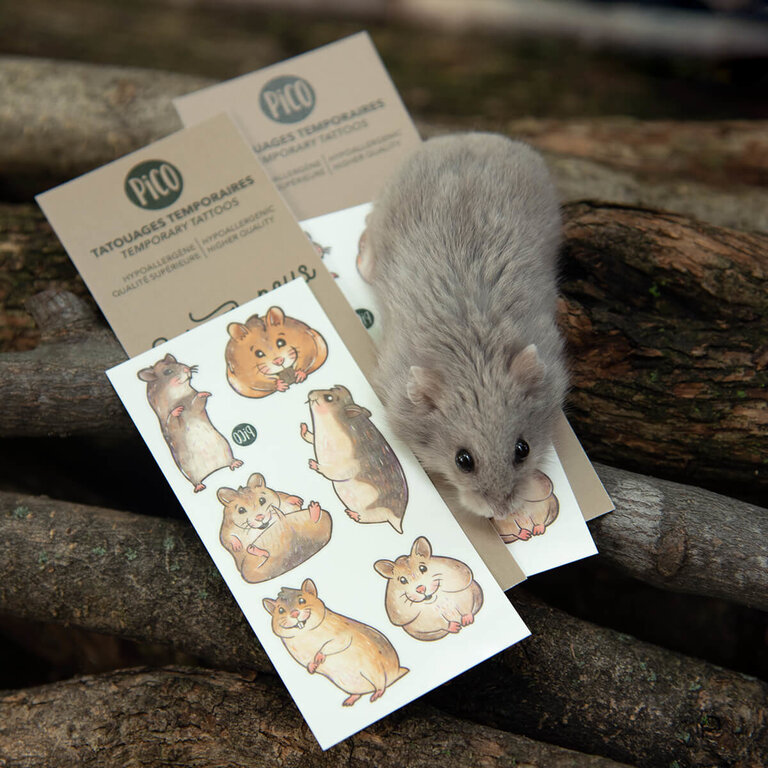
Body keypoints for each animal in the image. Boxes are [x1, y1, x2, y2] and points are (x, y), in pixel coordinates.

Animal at [138, 353, 242, 492]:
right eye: (167, 372)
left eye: (179, 363)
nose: (187, 369)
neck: (179, 396)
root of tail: (213, 470)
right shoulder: (166, 422)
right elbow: (171, 420)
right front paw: (177, 410)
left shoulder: (196, 407)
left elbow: (197, 402)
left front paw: (205, 393)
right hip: (188, 469)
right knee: (195, 481)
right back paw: (200, 487)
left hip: (226, 448)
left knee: (229, 461)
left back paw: (236, 463)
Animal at [263, 578, 408, 706]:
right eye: (281, 610)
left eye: (302, 600)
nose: (294, 614)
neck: (305, 633)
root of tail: (395, 672)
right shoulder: (299, 654)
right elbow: (308, 662)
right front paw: (312, 667)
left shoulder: (342, 635)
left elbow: (331, 644)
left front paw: (319, 657)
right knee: (360, 693)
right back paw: (349, 701)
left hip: (374, 671)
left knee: (381, 684)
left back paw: (375, 696)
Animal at [301, 385, 408, 533]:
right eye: (332, 388)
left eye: (329, 398)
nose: (310, 392)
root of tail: (399, 522)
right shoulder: (317, 439)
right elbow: (311, 438)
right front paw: (303, 428)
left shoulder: (349, 463)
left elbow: (337, 470)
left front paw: (314, 464)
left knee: (371, 517)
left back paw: (354, 515)